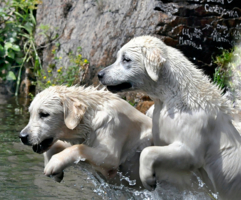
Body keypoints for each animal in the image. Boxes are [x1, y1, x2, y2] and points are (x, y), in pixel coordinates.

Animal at [20, 85, 153, 187]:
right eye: (31, 113)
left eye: (44, 114)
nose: (22, 136)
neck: (92, 118)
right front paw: (55, 171)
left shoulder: (114, 129)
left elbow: (83, 149)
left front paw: (54, 164)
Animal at [98, 35, 241, 199]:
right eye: (117, 57)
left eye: (126, 59)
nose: (100, 74)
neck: (177, 97)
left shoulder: (197, 127)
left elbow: (187, 154)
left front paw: (149, 179)